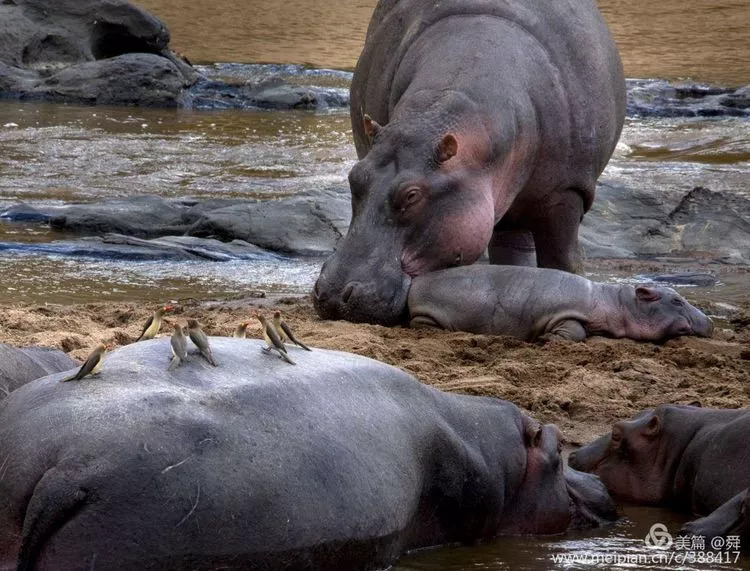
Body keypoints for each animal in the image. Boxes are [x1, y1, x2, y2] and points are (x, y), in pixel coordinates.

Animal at [314, 0, 624, 324]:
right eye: (354, 177)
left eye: (412, 195)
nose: (334, 293)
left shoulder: (566, 190)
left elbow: (562, 259)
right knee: (508, 247)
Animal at [412, 266, 716, 342]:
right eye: (677, 300)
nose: (711, 322)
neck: (618, 304)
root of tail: (415, 283)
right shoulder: (565, 312)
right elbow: (575, 330)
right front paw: (547, 339)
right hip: (429, 314)